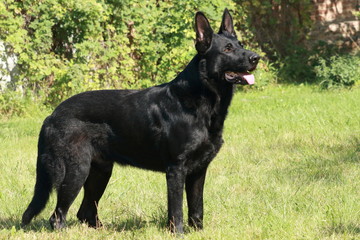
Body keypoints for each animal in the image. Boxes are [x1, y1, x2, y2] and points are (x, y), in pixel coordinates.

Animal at [21, 8, 258, 232]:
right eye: (227, 49)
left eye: (241, 45)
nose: (256, 58)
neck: (201, 100)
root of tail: (52, 115)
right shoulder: (176, 170)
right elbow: (177, 211)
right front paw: (178, 233)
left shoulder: (199, 171)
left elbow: (196, 209)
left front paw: (198, 232)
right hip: (75, 171)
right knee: (57, 216)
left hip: (100, 172)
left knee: (85, 212)